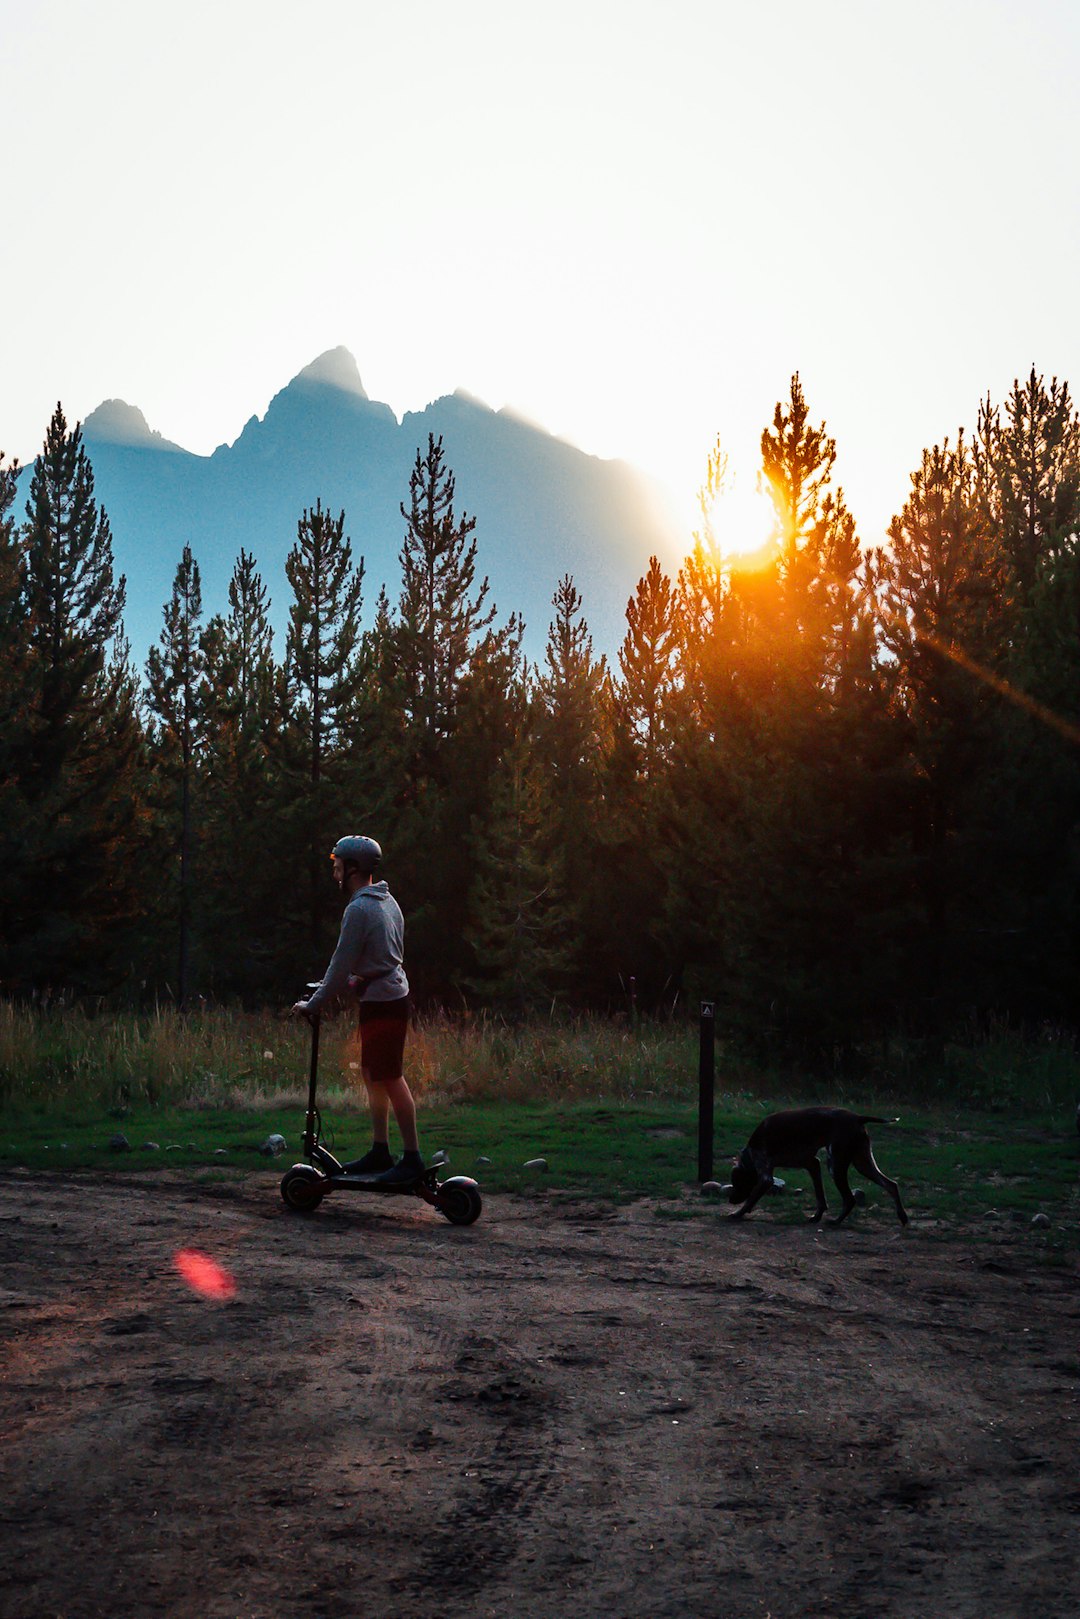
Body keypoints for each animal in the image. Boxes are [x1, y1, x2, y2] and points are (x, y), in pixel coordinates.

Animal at [731, 1113, 906, 1223]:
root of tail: (857, 1117)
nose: (730, 1200)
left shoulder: (766, 1178)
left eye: (737, 1183)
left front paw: (737, 1214)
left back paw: (836, 1222)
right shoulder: (812, 1165)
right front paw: (816, 1216)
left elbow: (751, 1199)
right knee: (891, 1185)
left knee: (850, 1199)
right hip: (863, 1165)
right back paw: (902, 1217)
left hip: (836, 1167)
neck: (750, 1152)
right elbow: (820, 1198)